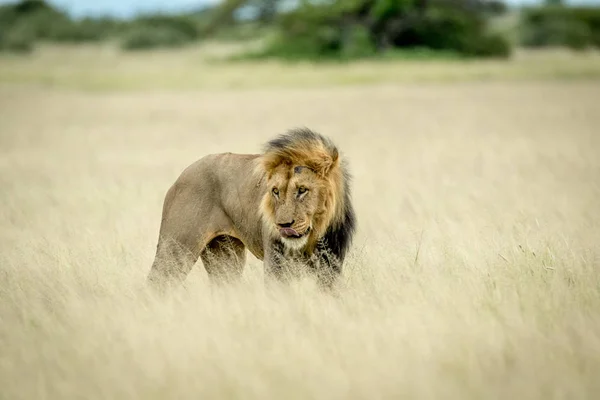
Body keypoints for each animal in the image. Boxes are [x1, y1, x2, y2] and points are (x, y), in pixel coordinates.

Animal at [147, 128, 354, 290]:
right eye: (276, 191)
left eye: (302, 190)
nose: (283, 225)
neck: (313, 234)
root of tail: (183, 174)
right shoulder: (276, 264)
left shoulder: (330, 265)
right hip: (177, 246)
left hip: (225, 256)